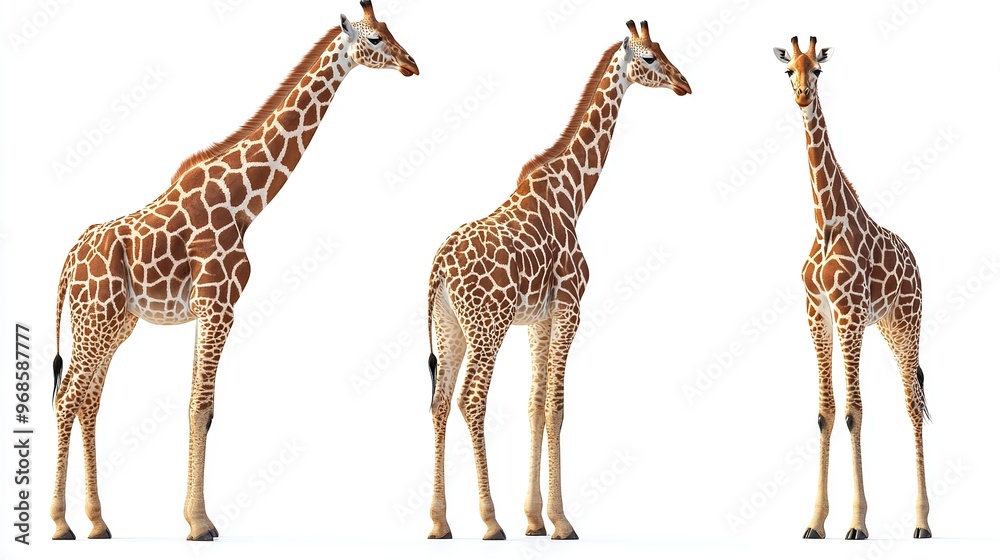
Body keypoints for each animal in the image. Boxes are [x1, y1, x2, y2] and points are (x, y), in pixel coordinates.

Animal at [49, 1, 417, 541]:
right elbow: (201, 406)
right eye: (373, 39)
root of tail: (69, 259)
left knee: (88, 399)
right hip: (96, 319)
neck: (245, 204)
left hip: (113, 322)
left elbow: (200, 406)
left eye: (390, 30)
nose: (412, 65)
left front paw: (194, 517)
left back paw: (98, 523)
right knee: (67, 397)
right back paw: (59, 524)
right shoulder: (218, 304)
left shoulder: (212, 308)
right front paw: (200, 523)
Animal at [424, 20, 690, 541]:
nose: (684, 84)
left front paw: (534, 518)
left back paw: (440, 522)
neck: (573, 196)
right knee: (471, 401)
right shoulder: (571, 308)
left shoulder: (540, 320)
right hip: (486, 328)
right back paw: (489, 522)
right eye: (649, 58)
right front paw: (561, 522)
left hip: (450, 329)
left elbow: (535, 405)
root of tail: (440, 266)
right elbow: (558, 407)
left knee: (440, 403)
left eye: (663, 50)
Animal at [773, 36, 931, 540]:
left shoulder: (849, 314)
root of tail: (916, 262)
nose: (802, 96)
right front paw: (815, 523)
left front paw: (858, 523)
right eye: (789, 71)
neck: (825, 222)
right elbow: (826, 412)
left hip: (907, 323)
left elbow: (853, 411)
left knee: (913, 403)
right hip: (886, 327)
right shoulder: (817, 315)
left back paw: (922, 523)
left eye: (818, 70)